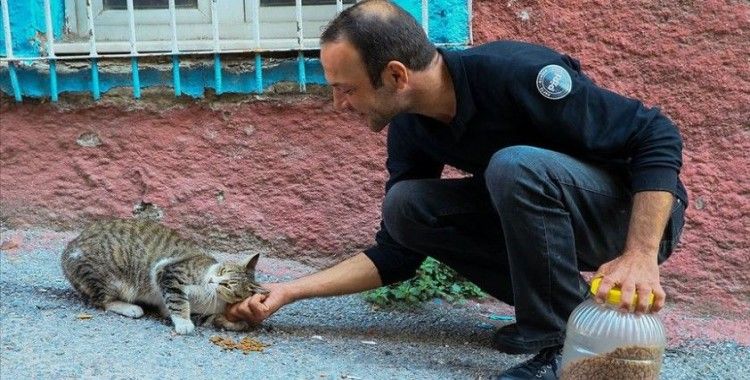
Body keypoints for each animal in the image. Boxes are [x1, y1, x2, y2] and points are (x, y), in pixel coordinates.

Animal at [60, 218, 268, 334]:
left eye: (228, 286)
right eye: (222, 271)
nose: (212, 281)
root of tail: (70, 247)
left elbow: (212, 318)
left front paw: (236, 323)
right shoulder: (169, 272)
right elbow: (178, 300)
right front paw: (184, 323)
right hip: (107, 276)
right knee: (102, 301)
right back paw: (130, 308)